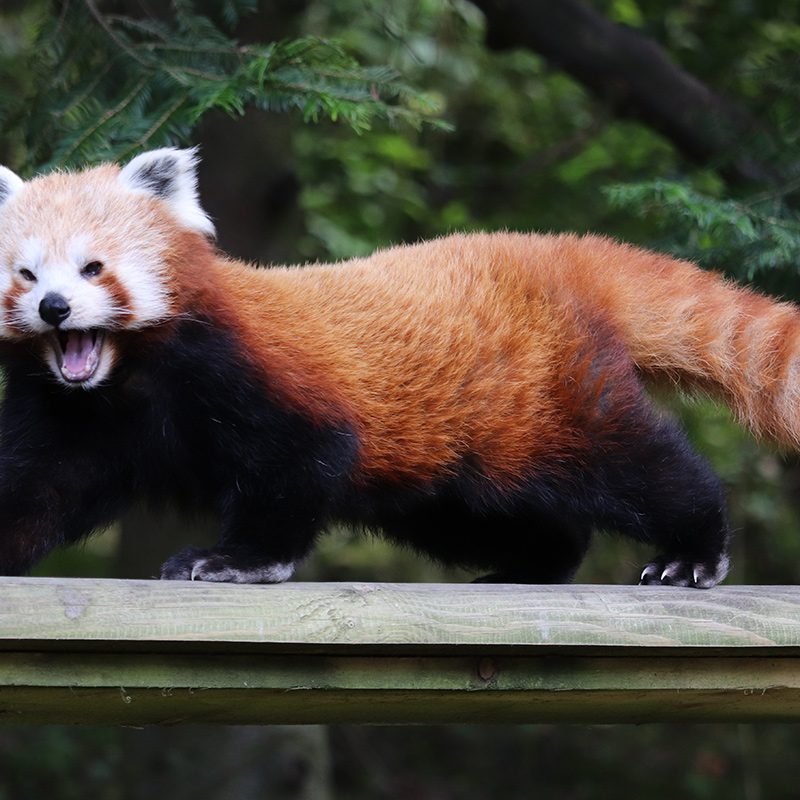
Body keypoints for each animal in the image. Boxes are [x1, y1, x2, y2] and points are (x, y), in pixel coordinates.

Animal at [1, 152, 792, 588]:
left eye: (93, 267)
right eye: (26, 273)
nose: (54, 308)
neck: (128, 379)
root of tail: (552, 250)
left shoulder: (254, 372)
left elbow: (300, 463)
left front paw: (237, 559)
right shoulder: (72, 417)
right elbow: (39, 487)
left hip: (550, 399)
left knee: (640, 466)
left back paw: (693, 551)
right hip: (452, 480)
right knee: (503, 517)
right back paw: (531, 564)